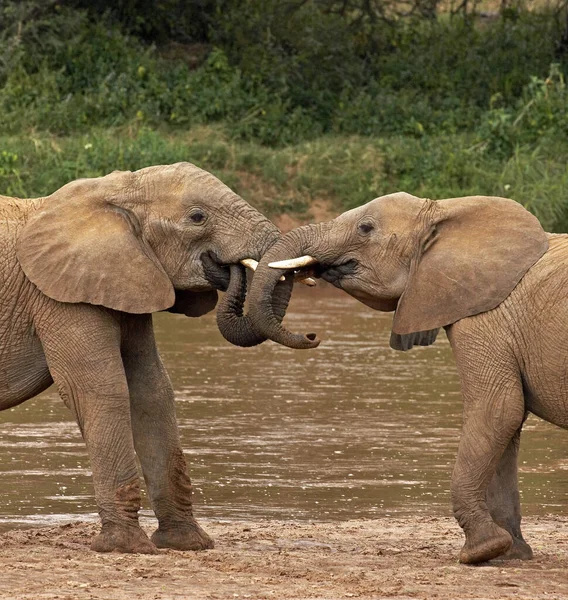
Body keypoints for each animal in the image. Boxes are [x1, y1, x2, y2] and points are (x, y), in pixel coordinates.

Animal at [1, 163, 292, 552]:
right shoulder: (57, 296)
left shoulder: (127, 279)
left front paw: (188, 544)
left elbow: (152, 391)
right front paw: (125, 547)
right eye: (197, 217)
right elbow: (102, 390)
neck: (111, 192)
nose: (227, 270)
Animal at [245, 193, 568, 568]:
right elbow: (508, 425)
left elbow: (498, 409)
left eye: (365, 228)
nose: (313, 335)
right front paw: (509, 556)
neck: (445, 210)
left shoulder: (484, 318)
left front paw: (480, 551)